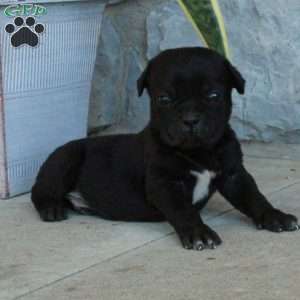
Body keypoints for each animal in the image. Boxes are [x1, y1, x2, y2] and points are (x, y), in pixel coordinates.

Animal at [31, 47, 298, 251]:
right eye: (164, 99)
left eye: (213, 96)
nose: (190, 119)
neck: (198, 151)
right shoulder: (165, 184)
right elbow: (184, 210)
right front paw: (199, 233)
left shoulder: (234, 174)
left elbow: (254, 197)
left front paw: (275, 216)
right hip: (64, 158)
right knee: (41, 191)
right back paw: (52, 208)